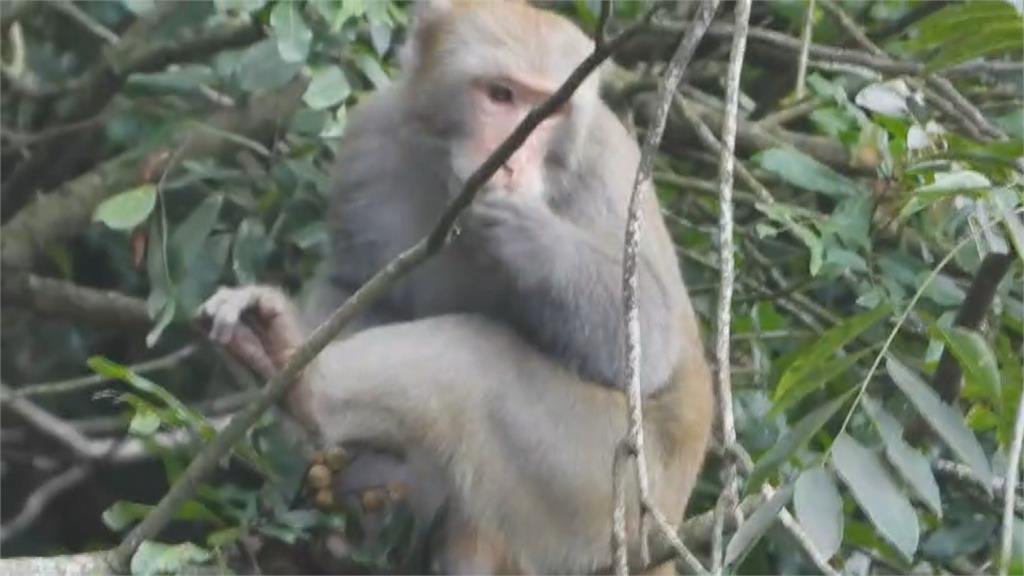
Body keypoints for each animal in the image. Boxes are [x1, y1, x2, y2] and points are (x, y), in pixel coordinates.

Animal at [199, 2, 712, 569]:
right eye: (501, 95)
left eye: (549, 111)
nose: (512, 163)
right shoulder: (371, 136)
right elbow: (354, 284)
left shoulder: (602, 164)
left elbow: (649, 339)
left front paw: (520, 230)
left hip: (592, 490)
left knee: (473, 363)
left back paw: (308, 387)